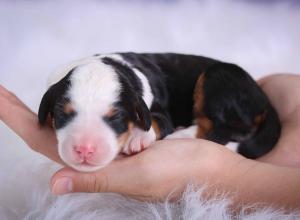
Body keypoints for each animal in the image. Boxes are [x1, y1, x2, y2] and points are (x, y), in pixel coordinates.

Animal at [38, 52, 282, 172]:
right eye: (62, 114)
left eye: (117, 117)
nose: (84, 149)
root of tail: (265, 100)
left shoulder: (160, 112)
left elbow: (154, 121)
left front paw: (138, 137)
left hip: (217, 77)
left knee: (217, 132)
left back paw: (181, 135)